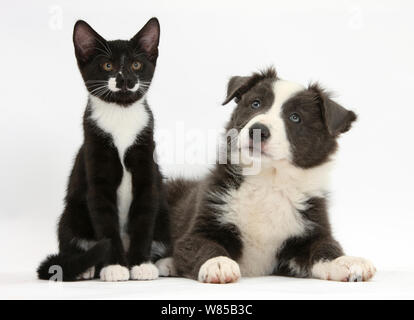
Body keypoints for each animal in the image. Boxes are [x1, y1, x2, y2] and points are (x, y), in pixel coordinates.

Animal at [36, 18, 170, 282]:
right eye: (107, 65)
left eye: (136, 64)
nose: (125, 79)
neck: (121, 114)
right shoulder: (96, 165)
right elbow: (106, 224)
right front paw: (115, 266)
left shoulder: (147, 171)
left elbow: (143, 221)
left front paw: (141, 264)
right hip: (72, 213)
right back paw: (85, 268)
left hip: (164, 210)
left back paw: (163, 262)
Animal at [158, 67, 376, 282]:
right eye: (255, 104)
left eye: (295, 117)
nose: (258, 130)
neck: (267, 179)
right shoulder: (202, 223)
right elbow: (201, 244)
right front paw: (218, 263)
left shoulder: (312, 226)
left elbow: (325, 246)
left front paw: (345, 261)